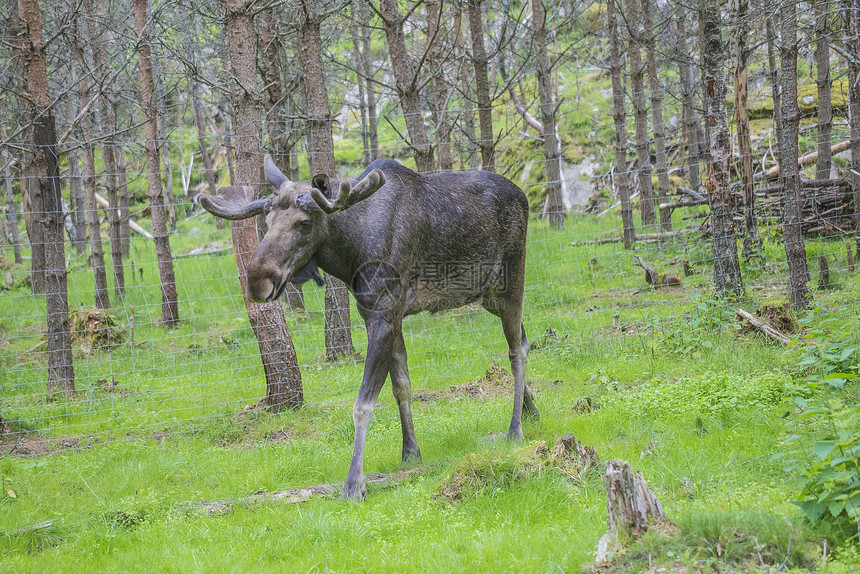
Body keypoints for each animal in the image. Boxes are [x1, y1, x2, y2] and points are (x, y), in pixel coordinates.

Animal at [201, 156, 536, 500]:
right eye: (266, 222)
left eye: (304, 223)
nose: (257, 281)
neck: (350, 255)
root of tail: (523, 195)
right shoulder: (383, 314)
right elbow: (401, 386)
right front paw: (410, 452)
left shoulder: (384, 314)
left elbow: (363, 404)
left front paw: (354, 483)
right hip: (486, 295)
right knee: (524, 341)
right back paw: (531, 409)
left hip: (511, 283)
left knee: (515, 352)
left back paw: (515, 429)